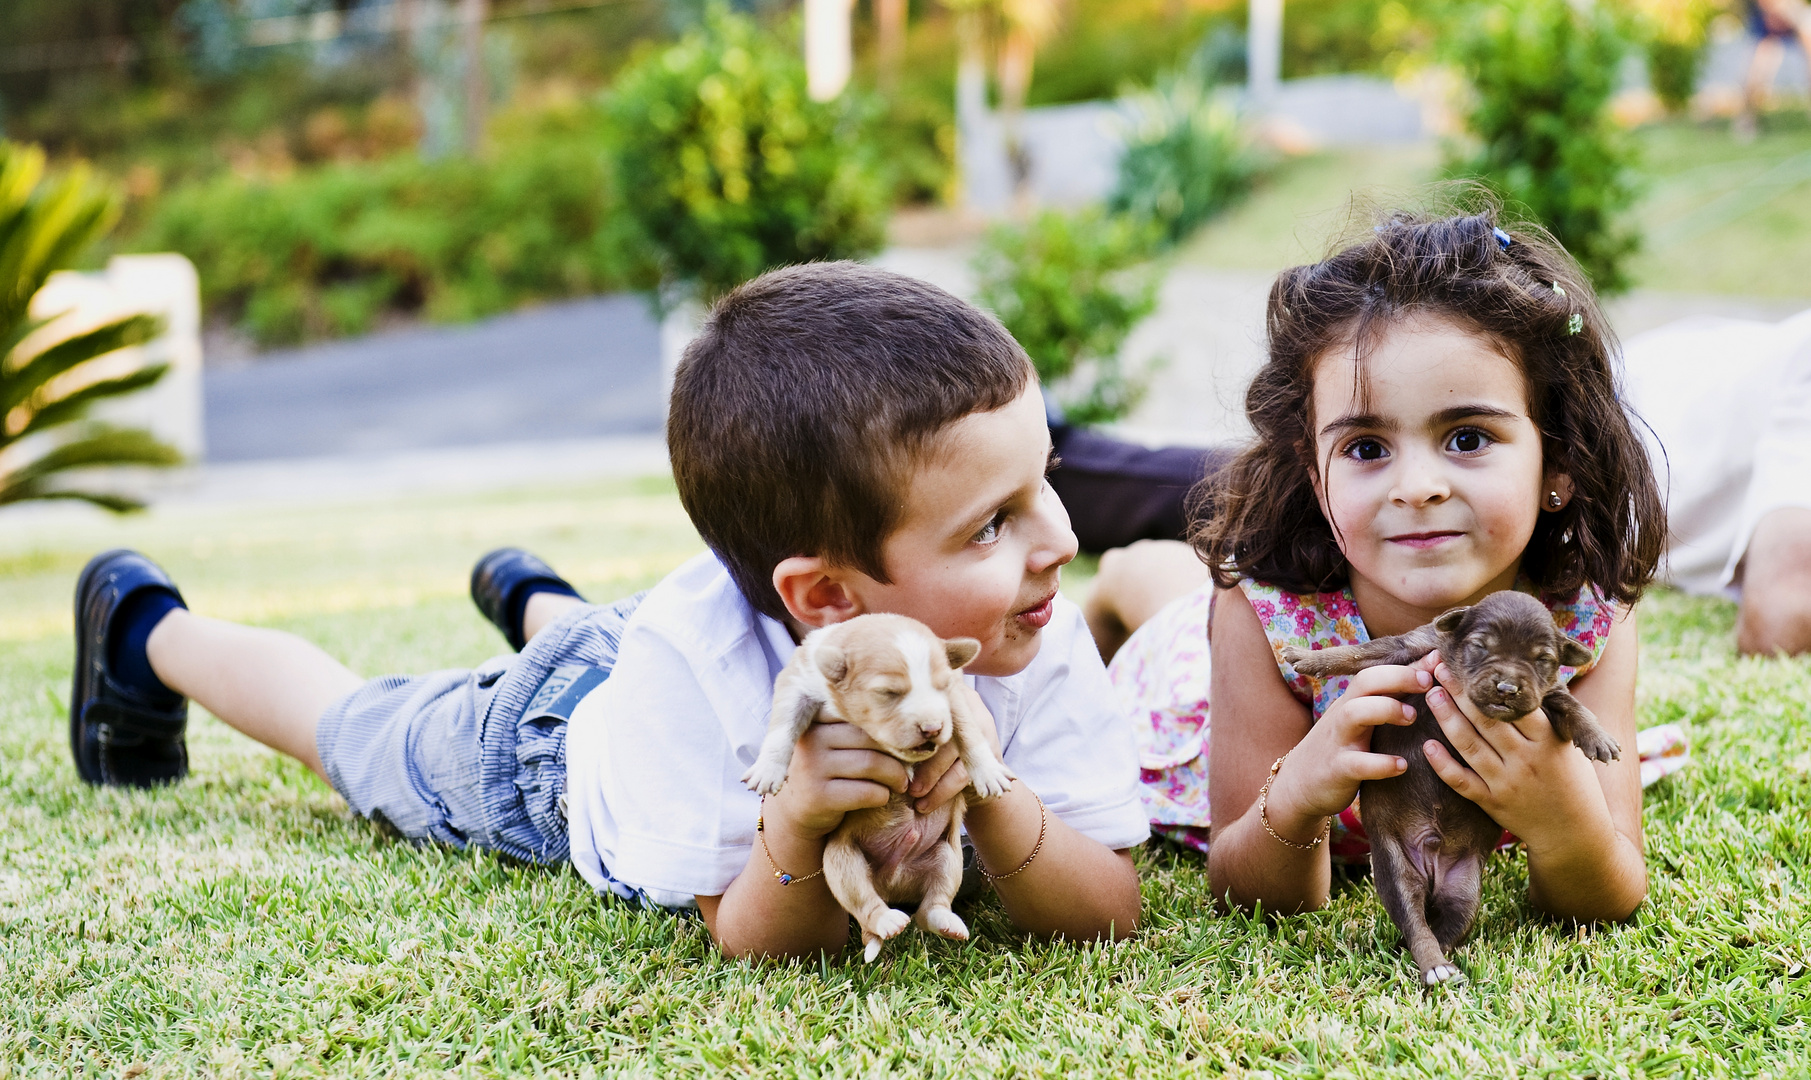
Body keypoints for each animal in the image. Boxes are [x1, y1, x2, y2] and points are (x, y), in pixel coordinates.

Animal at [738, 616, 1021, 964]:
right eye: (889, 693)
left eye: (940, 687)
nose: (933, 729)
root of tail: (892, 885)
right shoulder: (797, 684)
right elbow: (783, 725)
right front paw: (768, 769)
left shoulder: (955, 699)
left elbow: (968, 731)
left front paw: (989, 771)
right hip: (841, 863)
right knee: (865, 904)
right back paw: (886, 922)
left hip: (948, 858)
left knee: (930, 908)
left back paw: (945, 921)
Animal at [1282, 590, 1622, 985]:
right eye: (1479, 646)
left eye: (1543, 660)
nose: (1507, 688)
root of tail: (1431, 870)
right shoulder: (1414, 646)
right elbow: (1361, 652)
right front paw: (1307, 657)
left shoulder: (1547, 693)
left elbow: (1569, 703)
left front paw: (1597, 737)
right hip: (1395, 869)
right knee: (1414, 922)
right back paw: (1434, 965)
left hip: (1465, 889)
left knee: (1446, 926)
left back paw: (1443, 965)